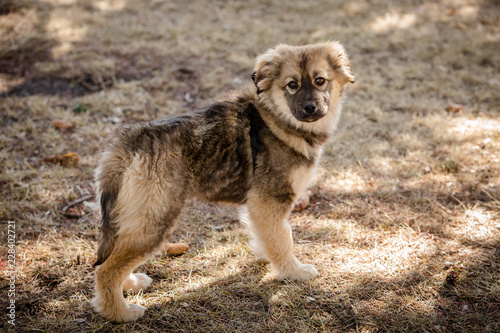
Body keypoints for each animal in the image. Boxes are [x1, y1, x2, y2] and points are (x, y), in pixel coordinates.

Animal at [92, 40, 354, 320]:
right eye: (292, 85)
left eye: (320, 81)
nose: (309, 109)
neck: (276, 119)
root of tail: (129, 143)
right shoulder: (271, 200)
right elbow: (284, 239)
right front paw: (293, 271)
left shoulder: (259, 206)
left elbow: (268, 236)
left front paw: (267, 256)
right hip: (155, 218)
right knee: (106, 269)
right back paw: (120, 313)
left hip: (133, 216)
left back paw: (130, 284)